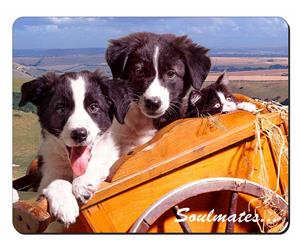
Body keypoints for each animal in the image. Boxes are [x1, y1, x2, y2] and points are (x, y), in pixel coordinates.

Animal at [18, 70, 131, 227]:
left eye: (94, 107)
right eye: (61, 108)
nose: (79, 134)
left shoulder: (110, 158)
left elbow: (98, 164)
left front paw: (82, 183)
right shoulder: (47, 173)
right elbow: (57, 181)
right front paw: (64, 206)